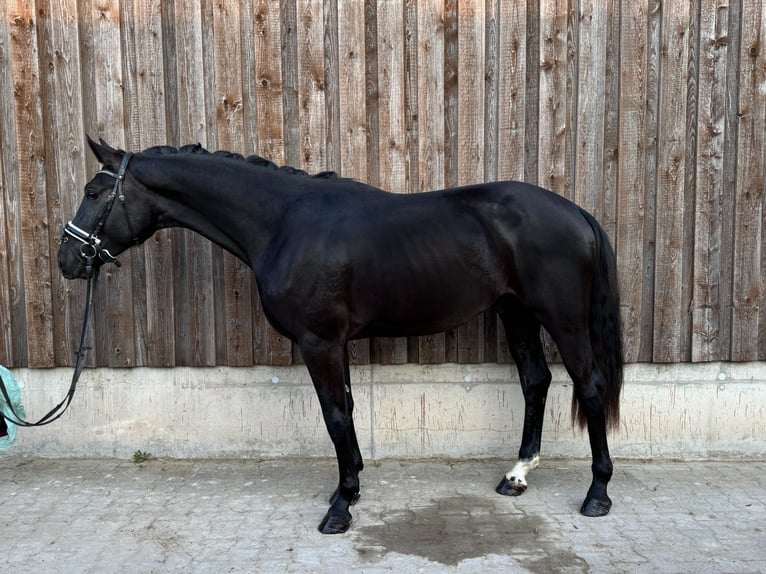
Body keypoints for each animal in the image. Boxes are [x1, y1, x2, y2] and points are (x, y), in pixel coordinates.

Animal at [58, 137, 623, 534]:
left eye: (93, 193)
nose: (68, 259)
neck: (283, 224)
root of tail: (576, 213)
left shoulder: (319, 342)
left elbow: (333, 416)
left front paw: (339, 506)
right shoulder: (335, 344)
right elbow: (347, 411)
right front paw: (352, 490)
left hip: (562, 318)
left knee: (590, 386)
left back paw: (597, 494)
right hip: (516, 312)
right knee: (535, 381)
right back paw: (516, 476)